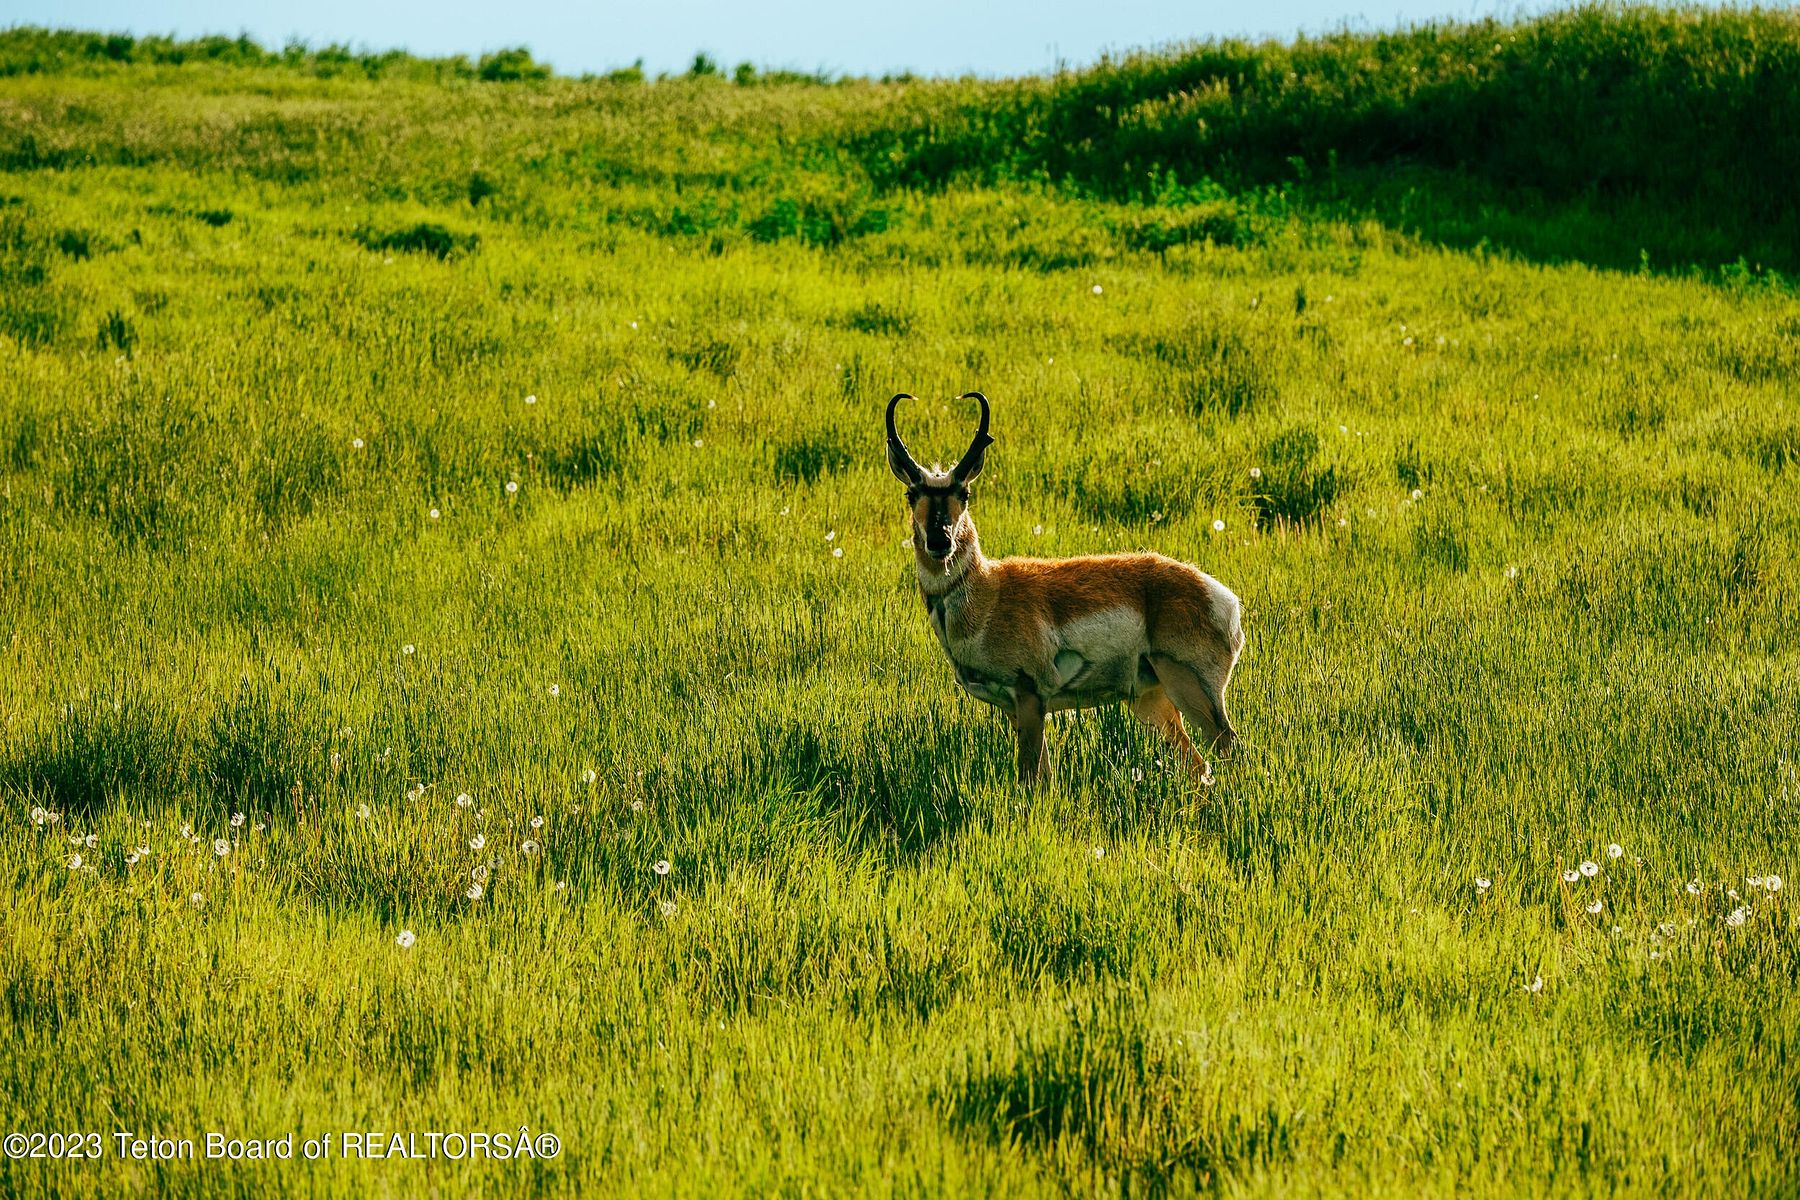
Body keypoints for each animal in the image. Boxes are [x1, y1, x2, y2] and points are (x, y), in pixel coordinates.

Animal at [889, 392, 1252, 788]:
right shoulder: (1017, 708)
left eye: (964, 491)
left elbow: (1029, 777)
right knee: (1199, 765)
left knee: (1230, 748)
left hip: (1190, 688)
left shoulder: (1030, 695)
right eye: (911, 493)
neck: (990, 592)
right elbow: (1044, 776)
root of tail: (1223, 599)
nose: (940, 541)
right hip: (1152, 701)